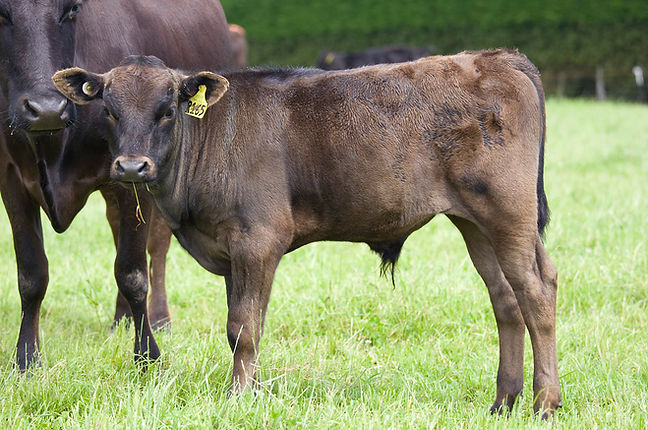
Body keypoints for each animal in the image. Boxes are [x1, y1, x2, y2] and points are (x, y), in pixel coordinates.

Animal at [0, 0, 232, 370]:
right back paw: (121, 317)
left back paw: (160, 318)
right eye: (2, 14)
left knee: (157, 247)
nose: (46, 109)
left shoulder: (136, 180)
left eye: (71, 10)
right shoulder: (10, 177)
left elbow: (133, 271)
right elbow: (31, 273)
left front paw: (148, 355)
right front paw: (26, 358)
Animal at [53, 49, 561, 417]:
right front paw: (254, 391)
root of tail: (498, 57)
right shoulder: (232, 253)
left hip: (508, 216)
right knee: (506, 299)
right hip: (476, 224)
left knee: (536, 294)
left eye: (167, 110)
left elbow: (242, 326)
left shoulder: (258, 239)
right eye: (109, 110)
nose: (131, 167)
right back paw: (503, 401)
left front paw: (238, 398)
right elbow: (244, 324)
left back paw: (545, 403)